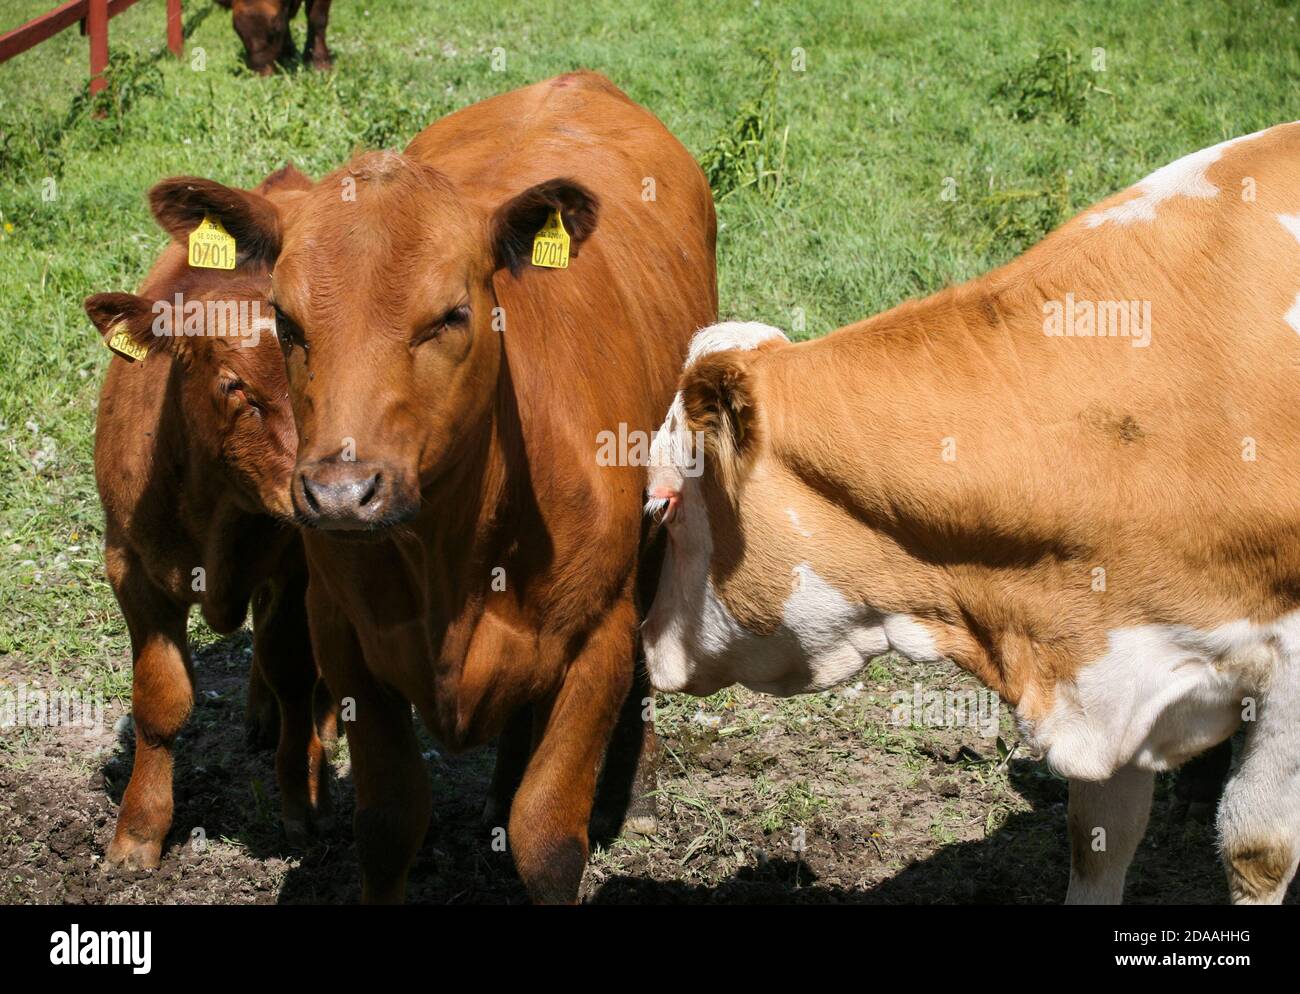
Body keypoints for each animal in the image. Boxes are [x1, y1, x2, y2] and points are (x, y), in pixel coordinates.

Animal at [85, 164, 335, 868]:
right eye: (232, 384)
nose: (321, 491)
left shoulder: (299, 566)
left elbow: (294, 671)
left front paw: (301, 802)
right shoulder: (129, 565)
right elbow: (161, 700)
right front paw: (138, 833)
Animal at [145, 71, 718, 902]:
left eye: (451, 315)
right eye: (285, 321)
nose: (342, 493)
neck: (454, 546)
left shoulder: (595, 639)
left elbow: (549, 836)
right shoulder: (346, 639)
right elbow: (389, 826)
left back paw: (633, 793)